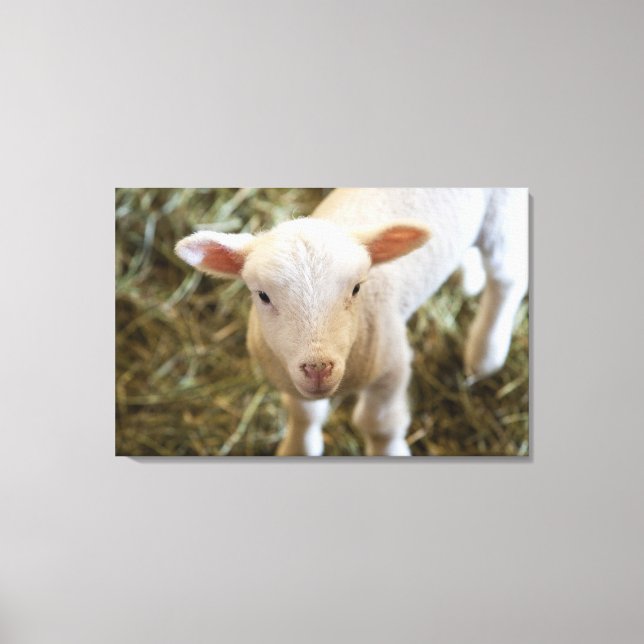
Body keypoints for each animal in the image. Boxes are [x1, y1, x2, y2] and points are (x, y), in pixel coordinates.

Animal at [175, 188, 528, 456]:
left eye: (357, 288)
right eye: (262, 295)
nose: (318, 368)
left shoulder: (392, 365)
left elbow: (380, 425)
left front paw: (391, 452)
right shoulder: (288, 375)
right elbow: (304, 414)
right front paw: (298, 449)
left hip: (502, 217)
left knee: (507, 279)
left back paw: (485, 356)